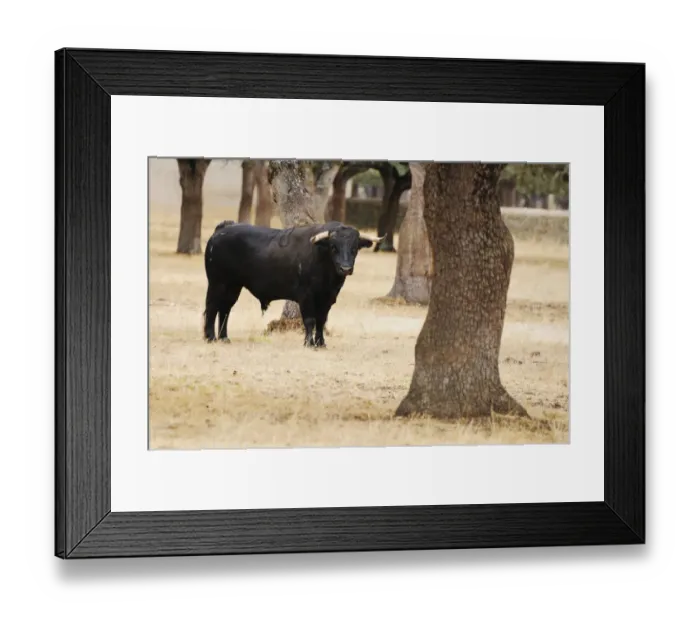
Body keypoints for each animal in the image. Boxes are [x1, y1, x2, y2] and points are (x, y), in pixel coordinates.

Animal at [203, 220, 384, 347]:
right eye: (333, 246)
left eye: (354, 247)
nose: (345, 268)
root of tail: (222, 229)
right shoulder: (306, 296)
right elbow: (310, 320)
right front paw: (309, 343)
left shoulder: (328, 298)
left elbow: (321, 320)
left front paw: (321, 343)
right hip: (217, 283)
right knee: (212, 307)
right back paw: (210, 337)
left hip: (233, 286)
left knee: (225, 309)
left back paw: (224, 338)